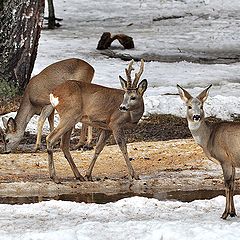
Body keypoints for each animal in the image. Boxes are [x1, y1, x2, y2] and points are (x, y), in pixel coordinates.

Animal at [176, 84, 240, 219]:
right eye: (189, 106)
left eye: (201, 106)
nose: (196, 116)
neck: (209, 138)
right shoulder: (232, 162)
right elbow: (232, 184)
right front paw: (232, 212)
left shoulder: (224, 159)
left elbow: (227, 185)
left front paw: (224, 214)